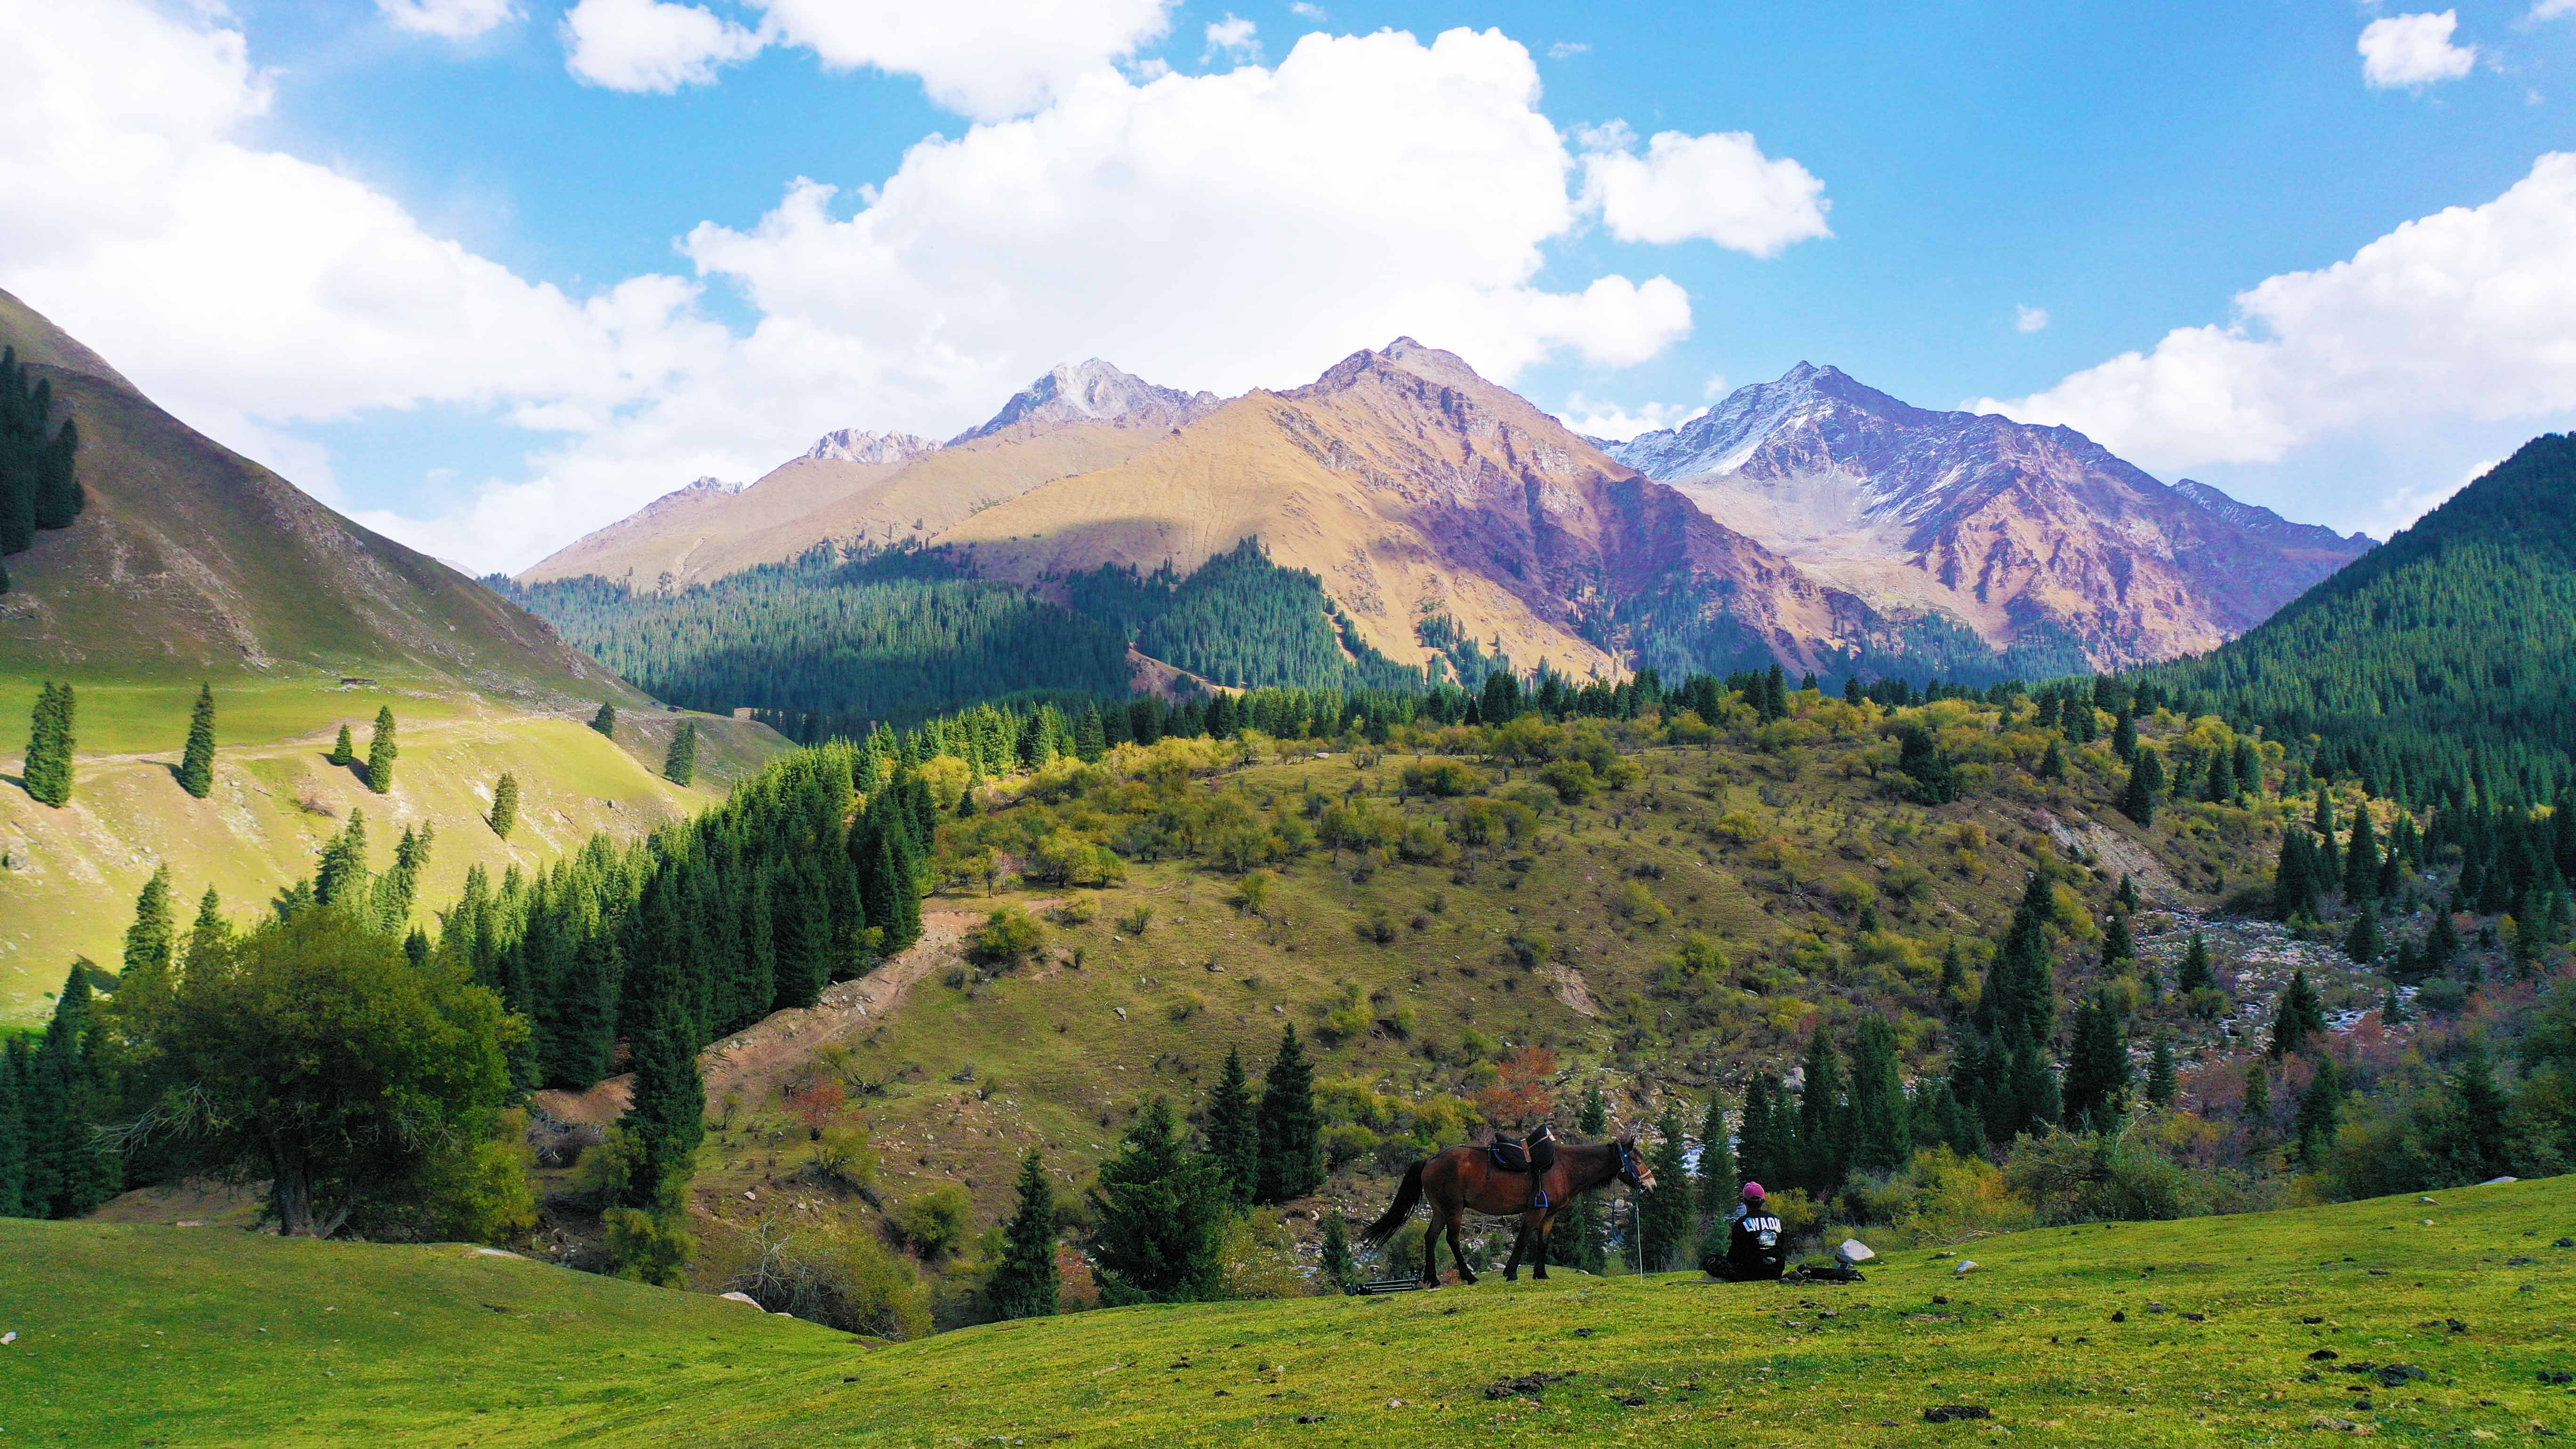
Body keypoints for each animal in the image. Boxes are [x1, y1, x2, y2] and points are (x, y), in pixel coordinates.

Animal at [1370, 1134, 1649, 1279]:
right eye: (1636, 1160)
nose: (1652, 1184)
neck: (1564, 1167)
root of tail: (1431, 1159)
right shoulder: (1536, 1211)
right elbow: (1524, 1238)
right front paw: (1511, 1272)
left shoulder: (1549, 1215)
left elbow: (1543, 1242)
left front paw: (1540, 1274)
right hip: (1454, 1210)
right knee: (1452, 1240)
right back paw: (1468, 1277)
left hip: (1440, 1210)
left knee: (1430, 1237)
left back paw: (1433, 1279)